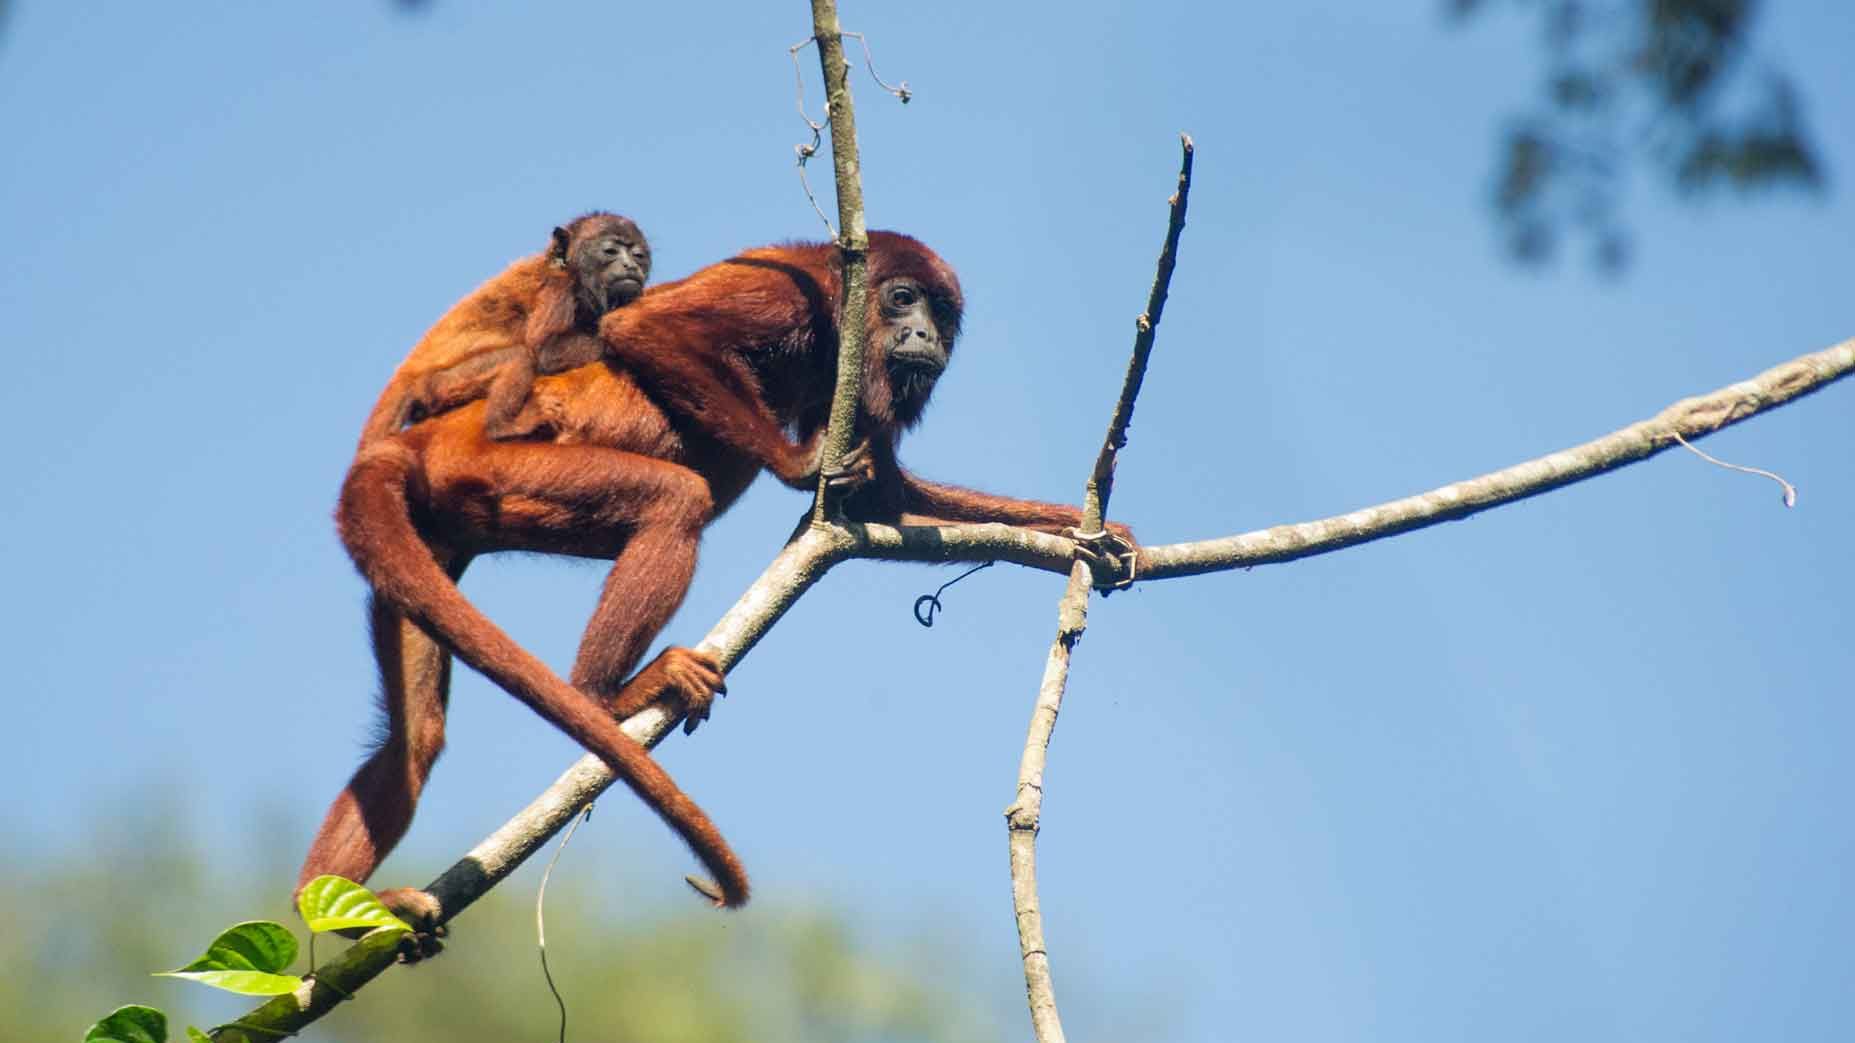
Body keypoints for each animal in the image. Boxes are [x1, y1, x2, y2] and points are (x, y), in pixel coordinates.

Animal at [356, 211, 652, 441]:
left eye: (638, 255)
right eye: (610, 251)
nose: (630, 265)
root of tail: (405, 374)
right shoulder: (557, 289)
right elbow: (547, 351)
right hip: (438, 386)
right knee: (519, 356)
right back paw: (504, 427)